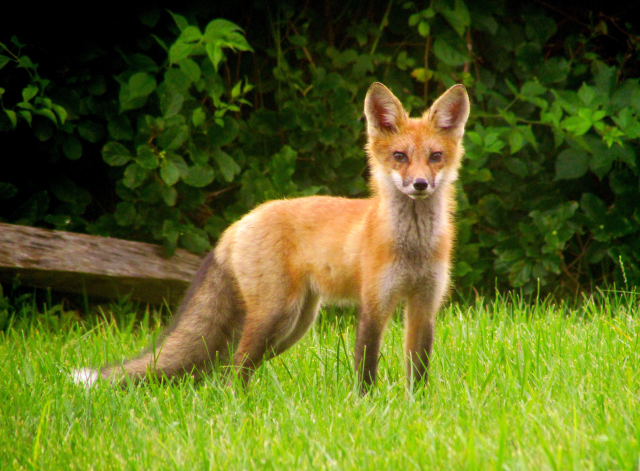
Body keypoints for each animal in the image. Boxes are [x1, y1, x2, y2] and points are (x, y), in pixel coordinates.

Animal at [74, 82, 470, 394]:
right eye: (399, 156)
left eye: (435, 157)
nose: (420, 184)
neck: (413, 247)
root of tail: (240, 222)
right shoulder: (374, 304)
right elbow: (366, 367)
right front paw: (366, 408)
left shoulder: (424, 304)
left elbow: (418, 369)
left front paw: (416, 407)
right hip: (274, 317)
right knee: (232, 371)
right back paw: (236, 408)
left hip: (293, 326)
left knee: (226, 370)